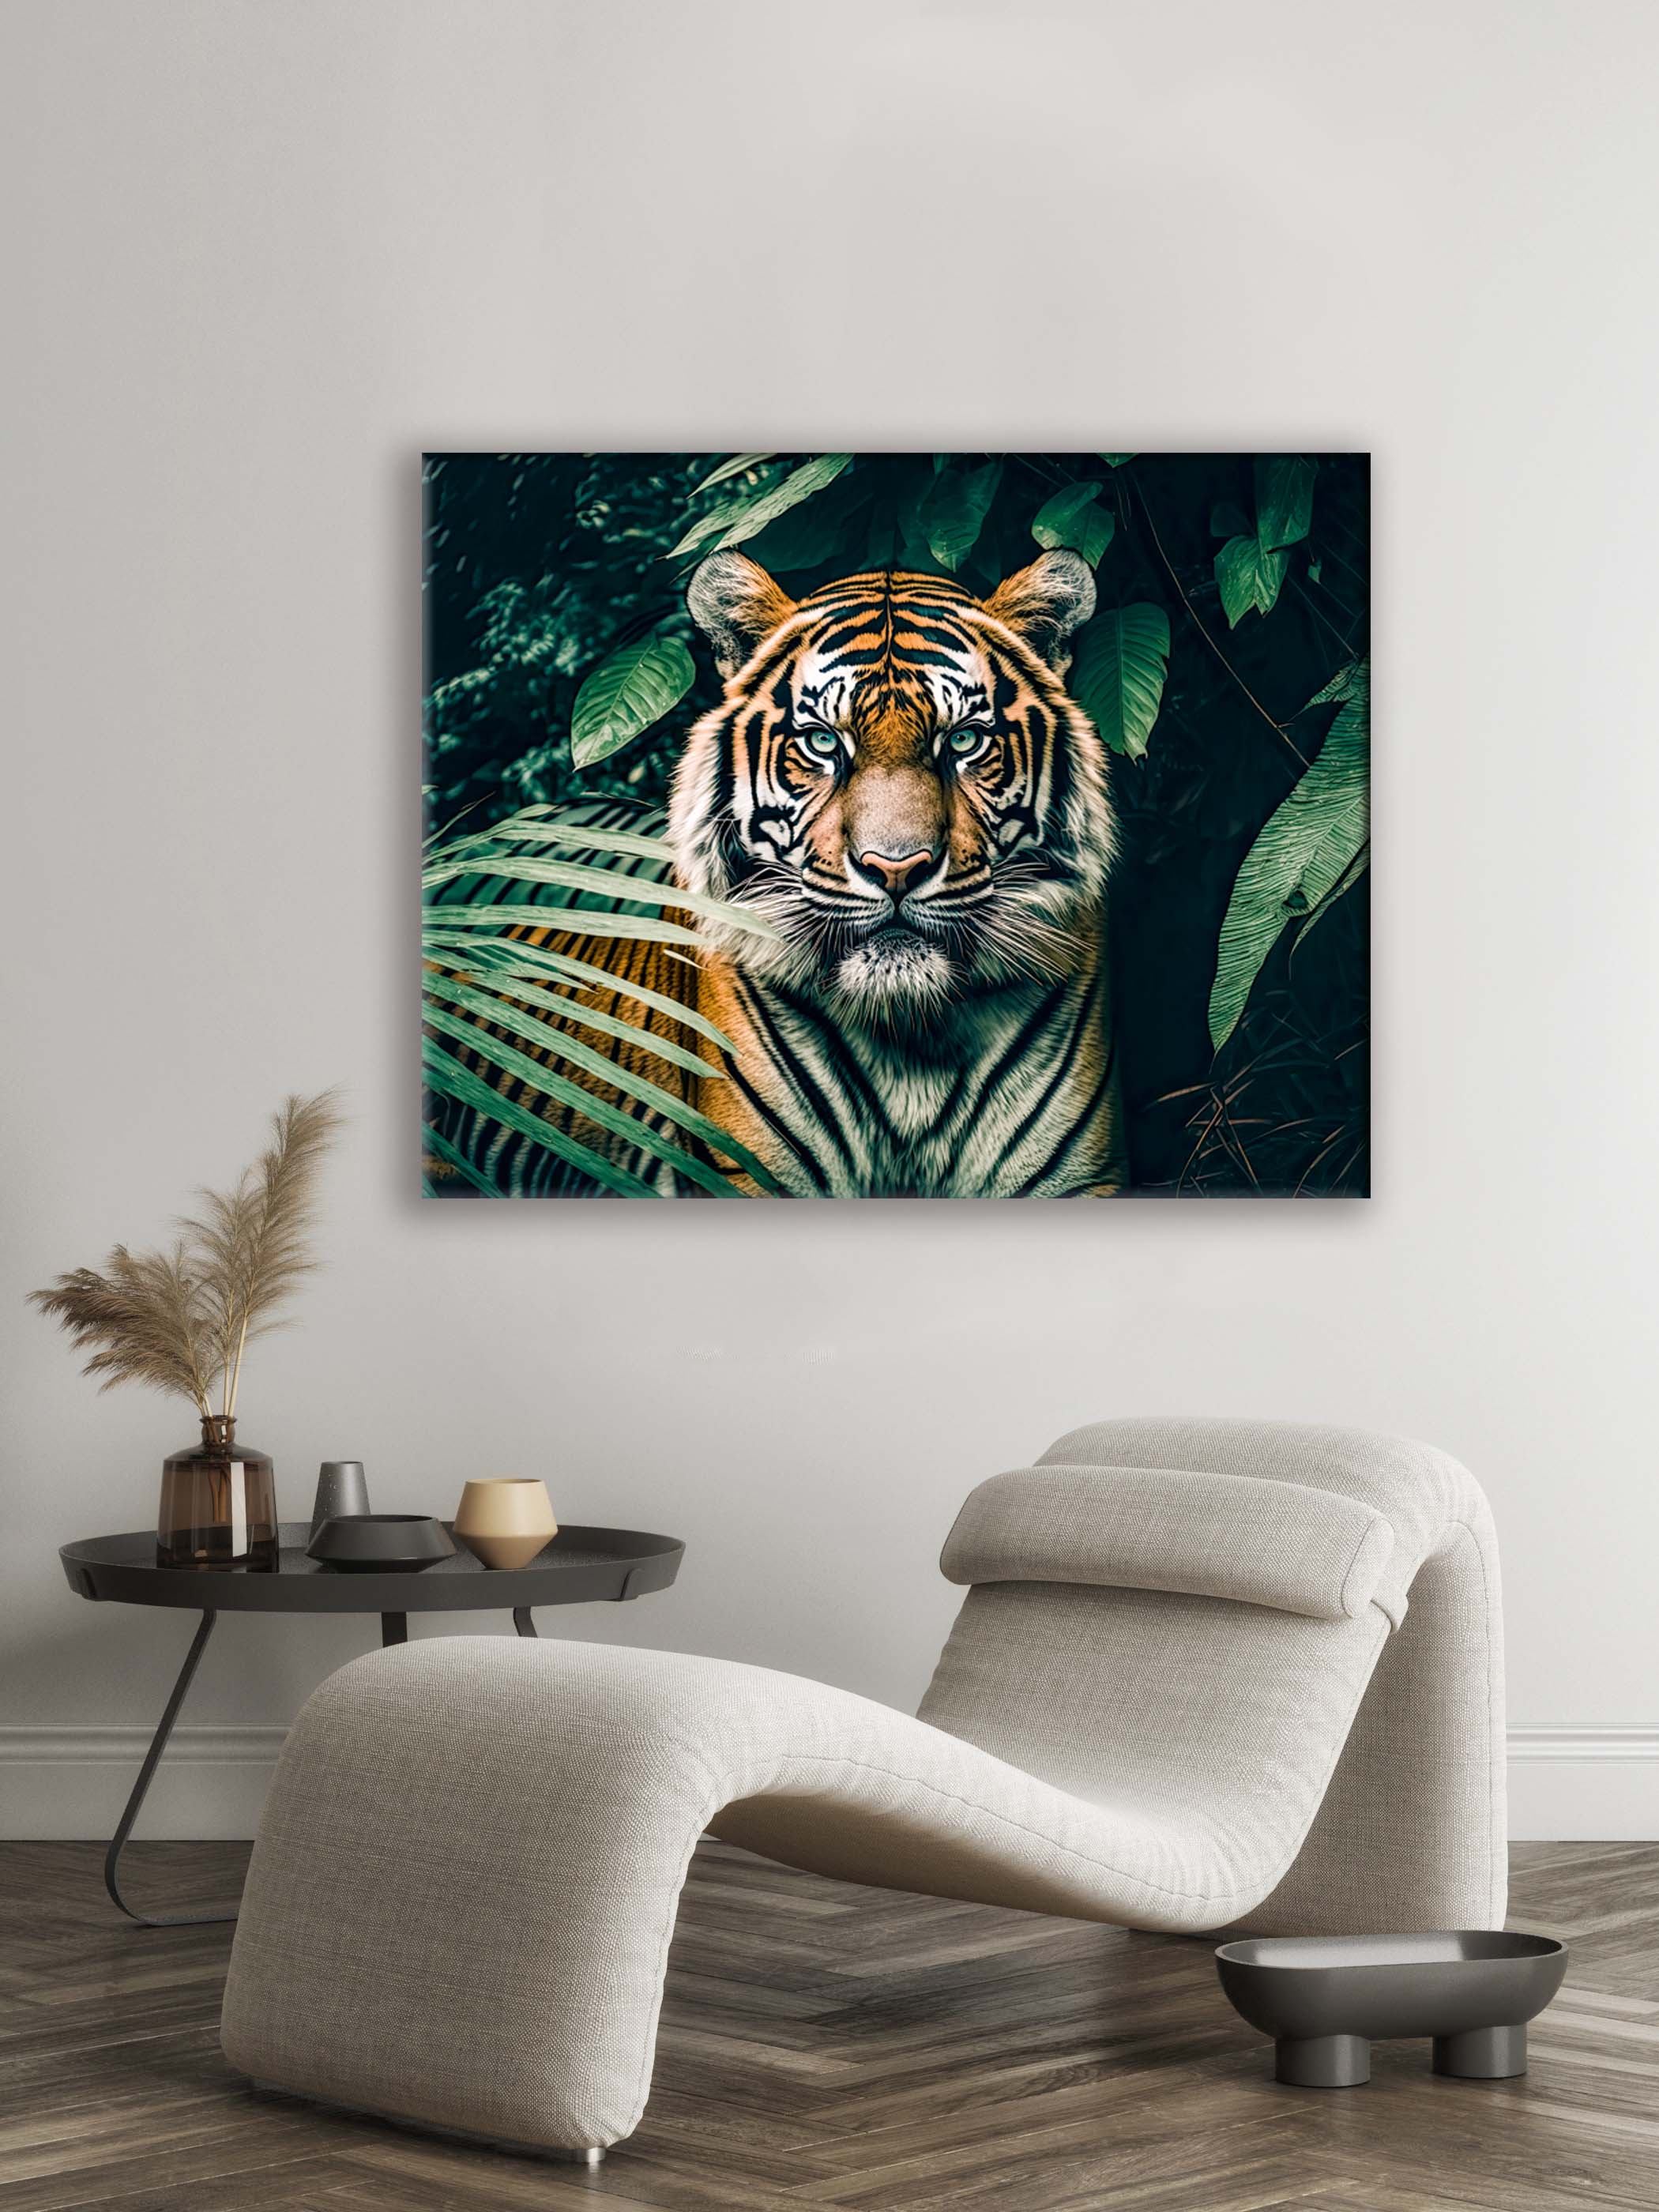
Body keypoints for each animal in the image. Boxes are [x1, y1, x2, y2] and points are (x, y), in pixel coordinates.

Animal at [426, 547, 1126, 1199]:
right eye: (822, 742)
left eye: (962, 741)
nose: (896, 869)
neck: (913, 1037)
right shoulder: (747, 1173)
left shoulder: (1077, 1179)